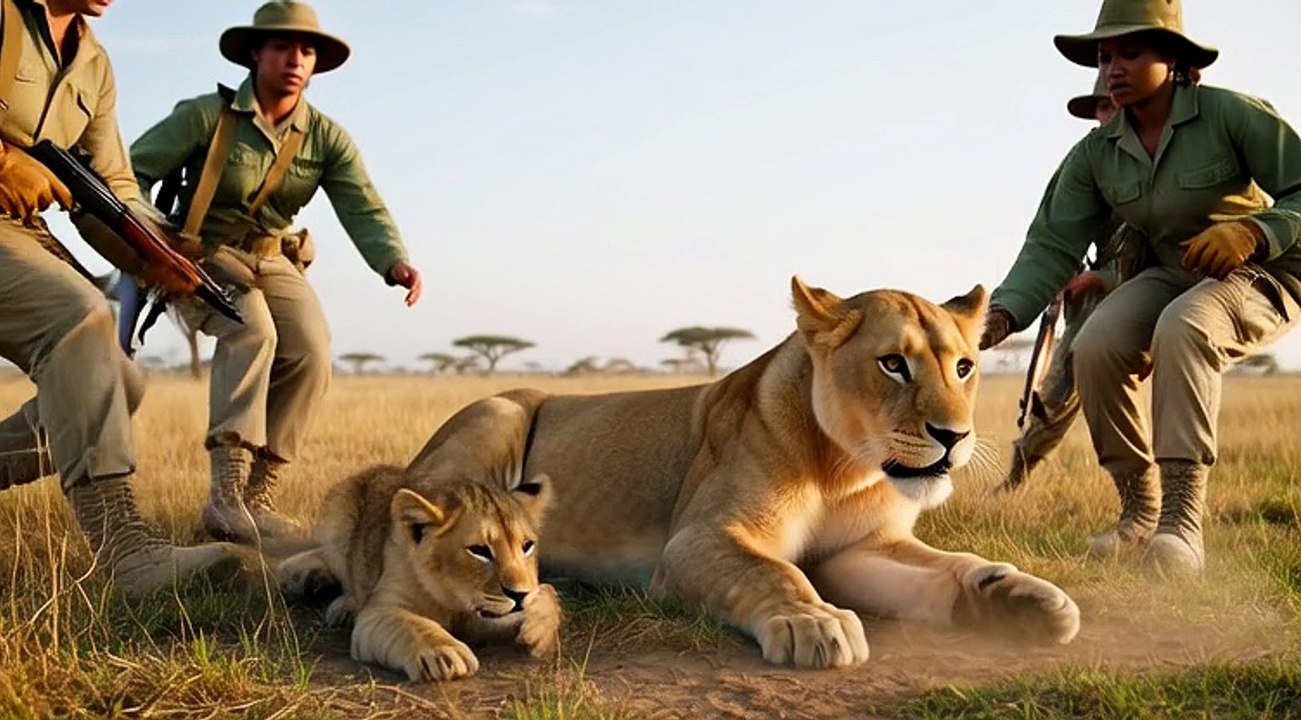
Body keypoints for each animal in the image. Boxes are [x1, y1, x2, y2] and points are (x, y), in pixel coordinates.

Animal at [277, 464, 561, 681]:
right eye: (479, 550)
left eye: (527, 546)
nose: (520, 595)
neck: (453, 600)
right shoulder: (379, 611)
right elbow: (410, 623)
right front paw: (443, 653)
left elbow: (548, 591)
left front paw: (539, 624)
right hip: (338, 518)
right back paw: (337, 603)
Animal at [407, 277, 1081, 669]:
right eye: (893, 364)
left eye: (965, 368)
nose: (955, 437)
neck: (845, 467)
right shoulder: (695, 540)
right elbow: (775, 570)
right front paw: (814, 621)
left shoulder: (857, 549)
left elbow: (945, 567)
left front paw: (1018, 598)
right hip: (498, 413)